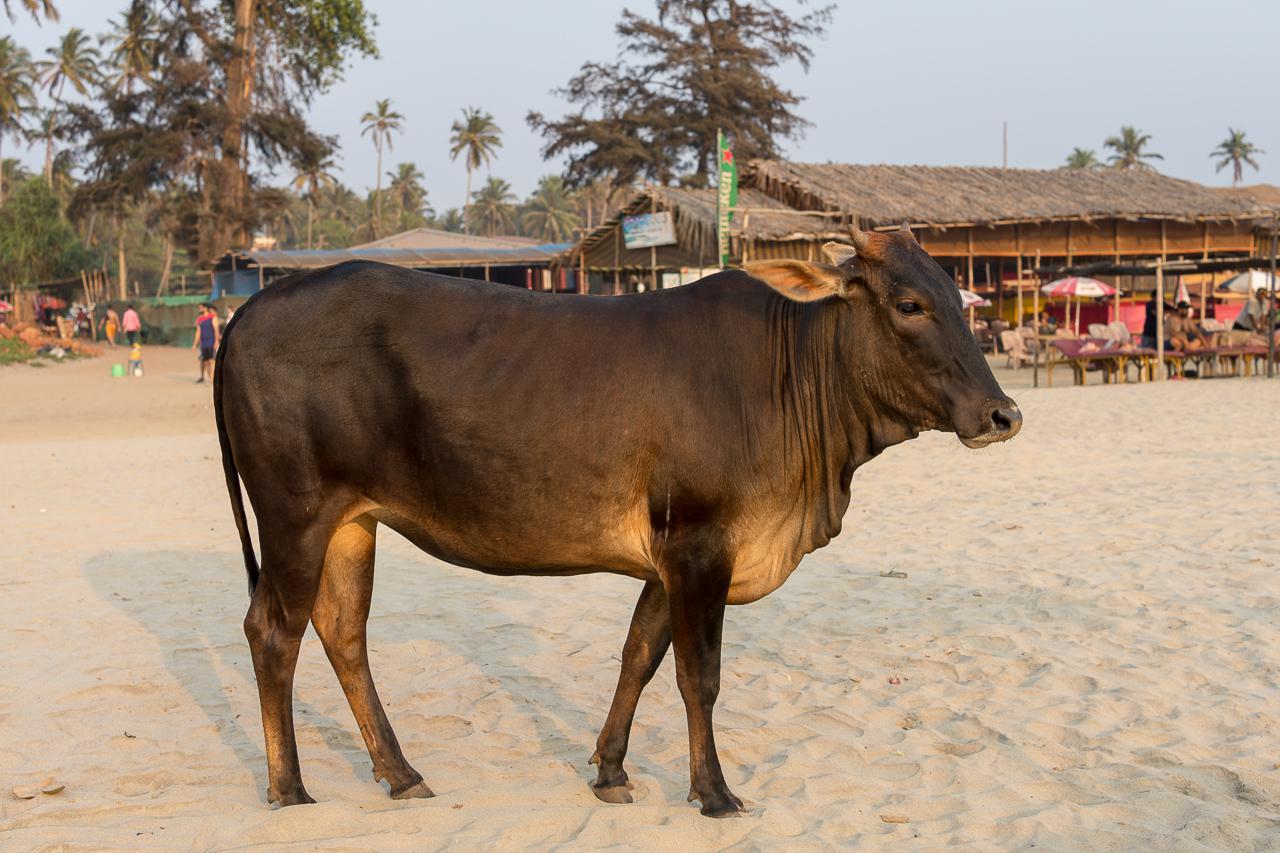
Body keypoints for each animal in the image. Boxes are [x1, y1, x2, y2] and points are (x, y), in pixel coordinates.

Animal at [214, 224, 1021, 817]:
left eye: (962, 300)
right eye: (909, 304)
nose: (1002, 414)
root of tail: (259, 303)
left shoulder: (669, 561)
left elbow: (639, 654)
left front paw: (610, 770)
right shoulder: (699, 547)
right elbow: (700, 675)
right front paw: (714, 792)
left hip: (352, 522)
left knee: (342, 631)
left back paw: (401, 771)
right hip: (294, 514)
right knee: (273, 632)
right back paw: (289, 787)